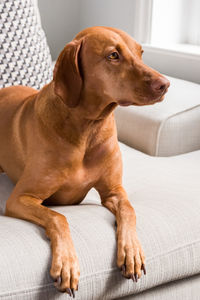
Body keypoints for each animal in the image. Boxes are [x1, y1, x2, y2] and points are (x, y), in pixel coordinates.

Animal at [0, 26, 169, 298]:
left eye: (141, 52)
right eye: (113, 55)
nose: (165, 84)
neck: (88, 128)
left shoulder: (114, 191)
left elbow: (129, 209)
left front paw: (132, 252)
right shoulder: (20, 198)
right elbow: (58, 217)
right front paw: (66, 264)